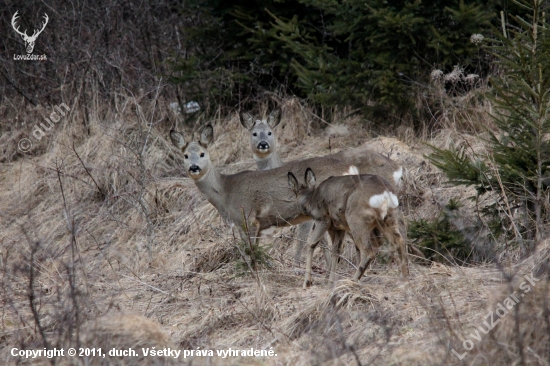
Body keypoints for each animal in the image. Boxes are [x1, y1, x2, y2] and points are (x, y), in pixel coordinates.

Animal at [170, 126, 404, 260]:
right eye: (185, 155)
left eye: (202, 153)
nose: (194, 168)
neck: (226, 192)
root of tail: (350, 168)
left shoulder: (249, 220)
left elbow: (251, 255)